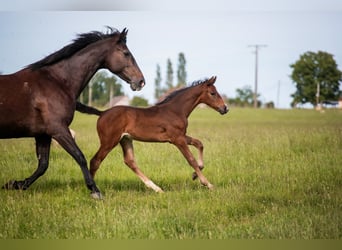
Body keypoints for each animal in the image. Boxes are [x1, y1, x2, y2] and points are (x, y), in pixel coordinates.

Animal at [0, 26, 145, 199]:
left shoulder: (43, 134)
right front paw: (95, 191)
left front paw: (15, 184)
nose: (141, 81)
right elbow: (80, 156)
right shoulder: (59, 130)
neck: (57, 81)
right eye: (126, 53)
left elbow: (43, 165)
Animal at [87, 76, 228, 191]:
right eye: (213, 93)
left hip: (125, 139)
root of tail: (102, 113)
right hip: (109, 141)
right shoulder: (178, 139)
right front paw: (207, 183)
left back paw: (156, 188)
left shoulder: (180, 136)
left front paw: (195, 175)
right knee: (95, 161)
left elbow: (199, 143)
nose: (225, 108)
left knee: (130, 161)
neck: (176, 110)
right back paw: (93, 190)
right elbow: (191, 159)